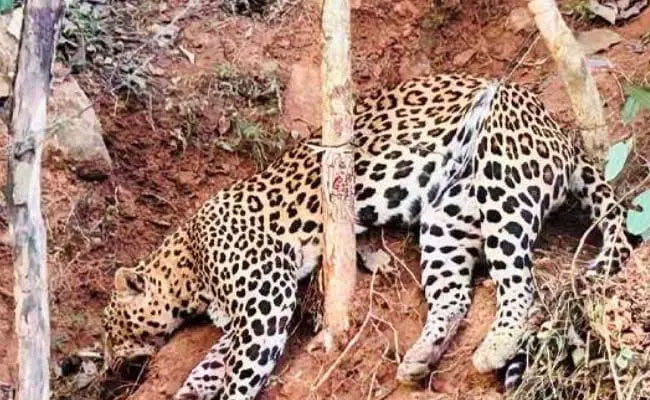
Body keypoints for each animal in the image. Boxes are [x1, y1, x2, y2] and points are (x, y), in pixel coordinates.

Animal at [102, 73, 633, 400]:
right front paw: (192, 388)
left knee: (522, 283)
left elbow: (240, 369)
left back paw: (495, 347)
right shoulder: (244, 314)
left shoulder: (265, 298)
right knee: (455, 296)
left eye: (112, 331)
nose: (108, 367)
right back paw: (419, 358)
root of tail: (563, 134)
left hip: (504, 173)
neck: (187, 263)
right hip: (446, 216)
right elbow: (212, 361)